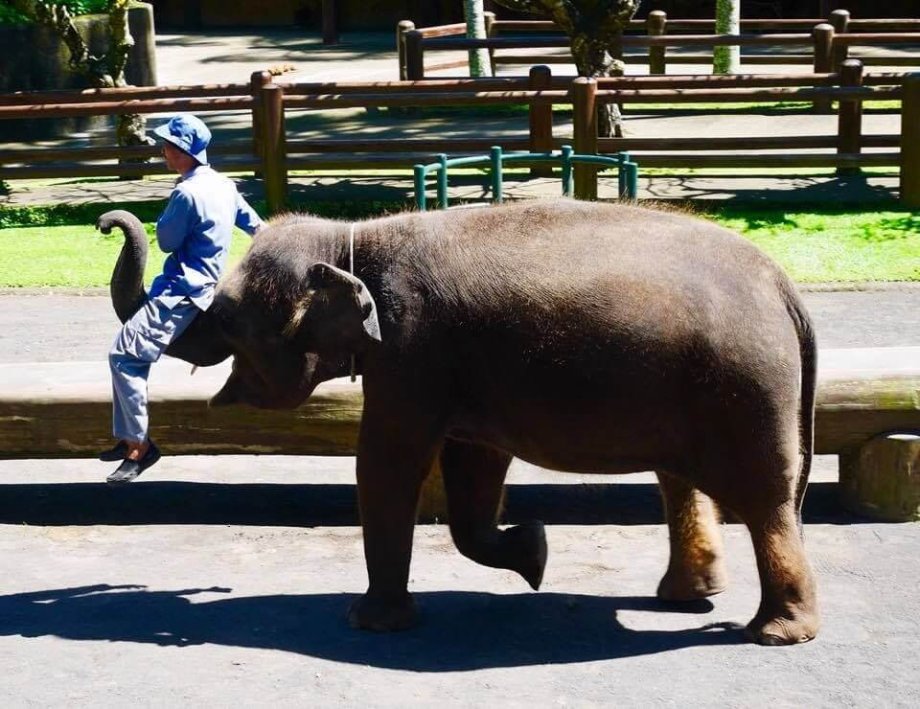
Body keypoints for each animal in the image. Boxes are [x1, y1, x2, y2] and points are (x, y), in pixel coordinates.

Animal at [99, 198, 819, 645]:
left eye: (224, 315)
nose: (108, 223)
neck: (353, 239)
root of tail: (786, 287)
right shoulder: (460, 367)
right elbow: (473, 464)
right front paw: (535, 553)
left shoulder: (411, 349)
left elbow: (388, 459)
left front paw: (369, 622)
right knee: (684, 480)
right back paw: (685, 594)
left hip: (743, 387)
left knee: (765, 499)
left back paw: (776, 632)